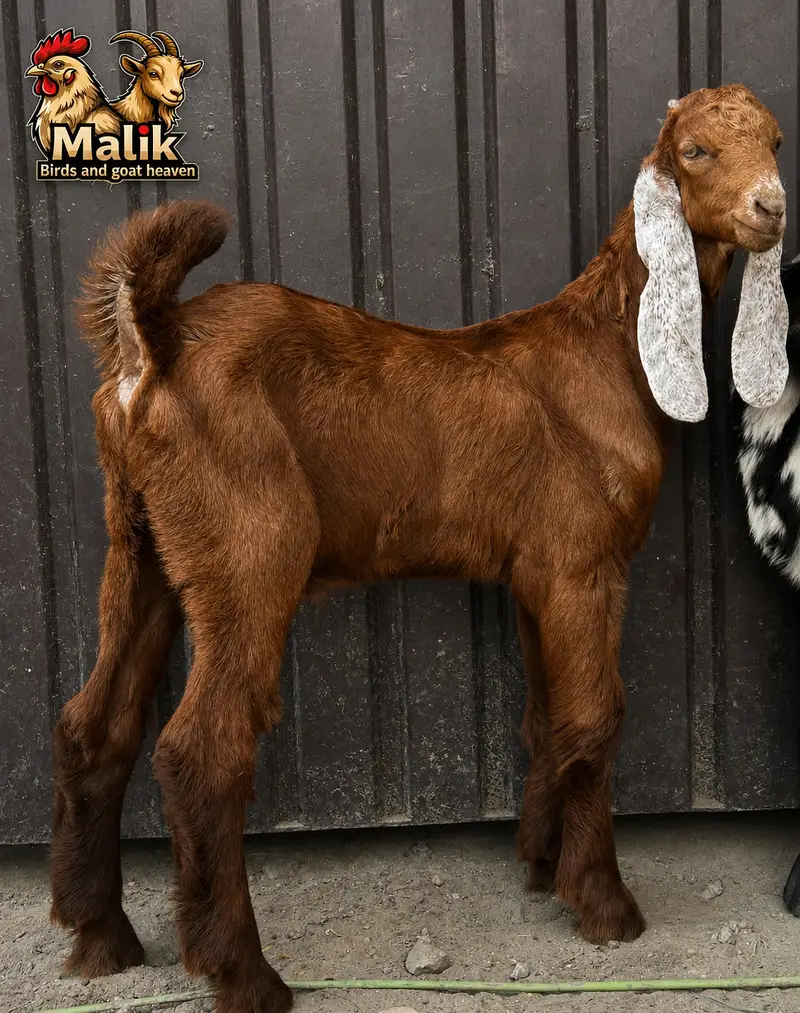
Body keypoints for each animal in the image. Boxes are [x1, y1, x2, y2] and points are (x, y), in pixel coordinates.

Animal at [50, 85, 787, 1013]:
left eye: (775, 141)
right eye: (694, 151)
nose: (772, 207)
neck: (611, 351)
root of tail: (154, 343)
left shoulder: (532, 572)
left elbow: (545, 715)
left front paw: (541, 862)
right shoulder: (583, 561)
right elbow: (594, 717)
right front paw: (604, 903)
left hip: (140, 544)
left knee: (94, 724)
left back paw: (100, 935)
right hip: (248, 545)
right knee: (200, 750)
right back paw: (244, 973)